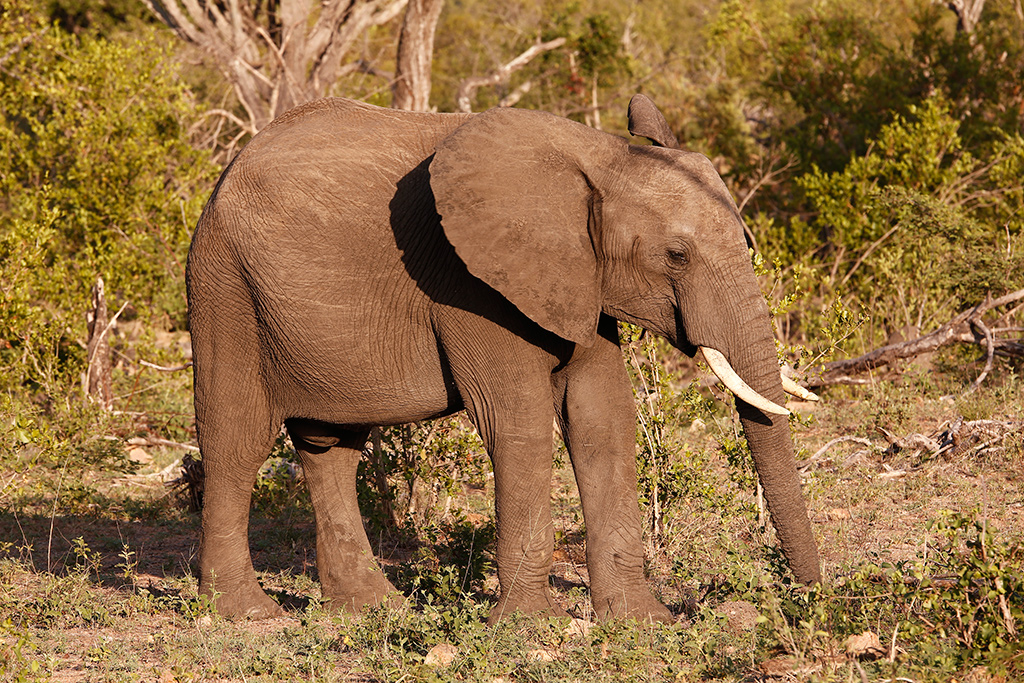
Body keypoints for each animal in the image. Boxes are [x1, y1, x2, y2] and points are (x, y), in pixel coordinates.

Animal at [186, 94, 822, 623]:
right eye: (677, 255)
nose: (805, 598)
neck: (597, 156)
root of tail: (224, 174)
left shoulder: (577, 278)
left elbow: (603, 421)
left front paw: (642, 624)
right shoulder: (470, 283)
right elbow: (520, 425)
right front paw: (528, 628)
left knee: (331, 448)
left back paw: (374, 609)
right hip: (226, 289)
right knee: (236, 442)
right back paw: (248, 615)